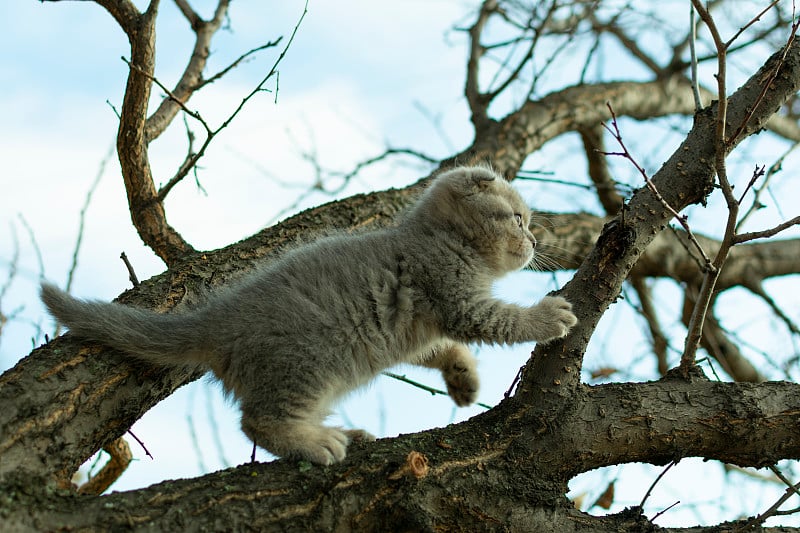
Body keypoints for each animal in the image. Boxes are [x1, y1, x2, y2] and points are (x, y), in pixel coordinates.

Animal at [40, 164, 576, 464]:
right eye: (518, 219)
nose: (534, 242)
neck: (438, 239)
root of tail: (221, 316)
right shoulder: (455, 297)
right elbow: (501, 322)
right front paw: (548, 316)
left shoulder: (421, 329)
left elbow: (442, 347)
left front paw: (463, 377)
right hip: (311, 361)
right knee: (256, 422)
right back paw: (316, 442)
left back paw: (341, 432)